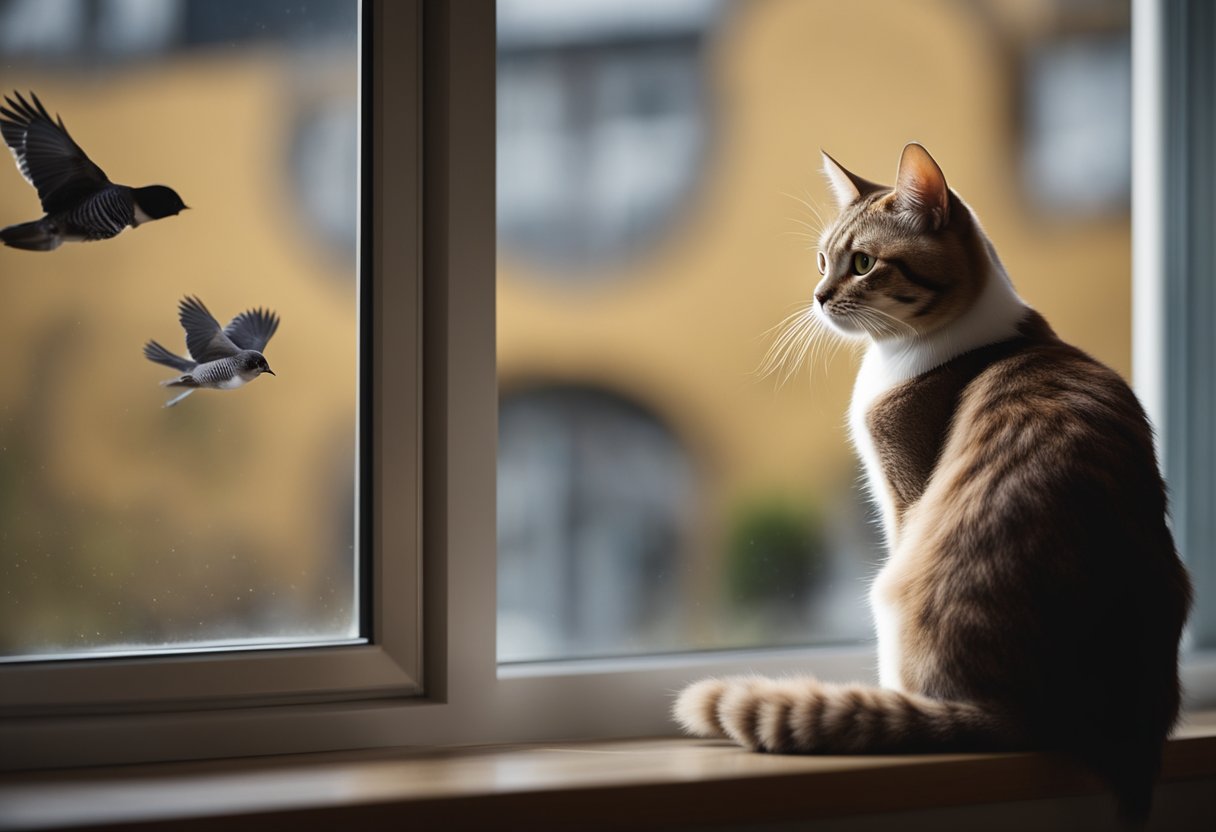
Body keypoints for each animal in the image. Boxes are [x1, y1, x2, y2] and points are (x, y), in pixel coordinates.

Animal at [680, 141, 1191, 817]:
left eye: (863, 263)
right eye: (821, 259)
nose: (818, 296)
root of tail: (1033, 713)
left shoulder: (903, 488)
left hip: (894, 584)